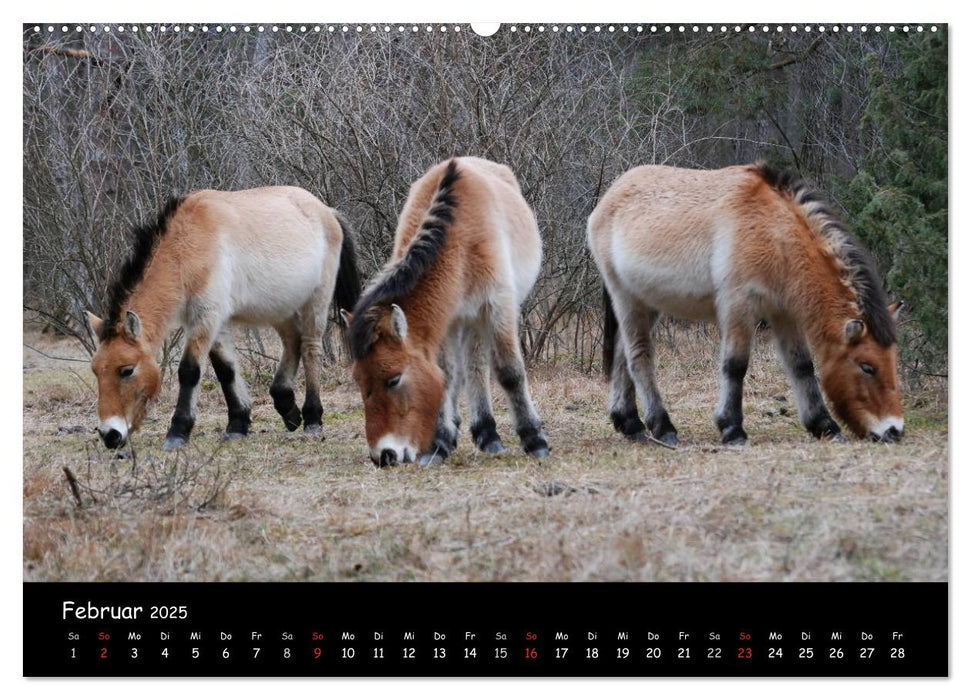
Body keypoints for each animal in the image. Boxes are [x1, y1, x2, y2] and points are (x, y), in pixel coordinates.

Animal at [86, 186, 360, 448]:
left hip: (316, 301)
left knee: (311, 349)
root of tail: (327, 212)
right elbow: (226, 370)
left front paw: (178, 432)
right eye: (96, 371)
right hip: (280, 308)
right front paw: (237, 424)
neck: (187, 247)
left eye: (127, 370)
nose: (110, 435)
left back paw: (312, 419)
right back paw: (287, 407)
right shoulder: (214, 322)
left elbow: (190, 370)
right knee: (293, 343)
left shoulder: (206, 318)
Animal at [346, 157, 552, 464]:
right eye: (359, 380)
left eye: (394, 379)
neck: (460, 236)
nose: (384, 456)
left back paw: (490, 435)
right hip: (464, 322)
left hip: (478, 319)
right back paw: (481, 432)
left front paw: (534, 439)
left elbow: (510, 372)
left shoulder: (498, 308)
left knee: (478, 366)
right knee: (467, 368)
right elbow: (445, 375)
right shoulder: (445, 319)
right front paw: (439, 443)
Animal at [588, 164, 908, 446]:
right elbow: (735, 365)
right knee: (638, 357)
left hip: (648, 303)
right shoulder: (738, 307)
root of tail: (609, 198)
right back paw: (662, 426)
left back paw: (629, 423)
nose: (894, 430)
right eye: (867, 367)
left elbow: (801, 366)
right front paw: (732, 428)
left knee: (621, 355)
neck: (775, 233)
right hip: (626, 299)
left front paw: (824, 425)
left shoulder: (783, 314)